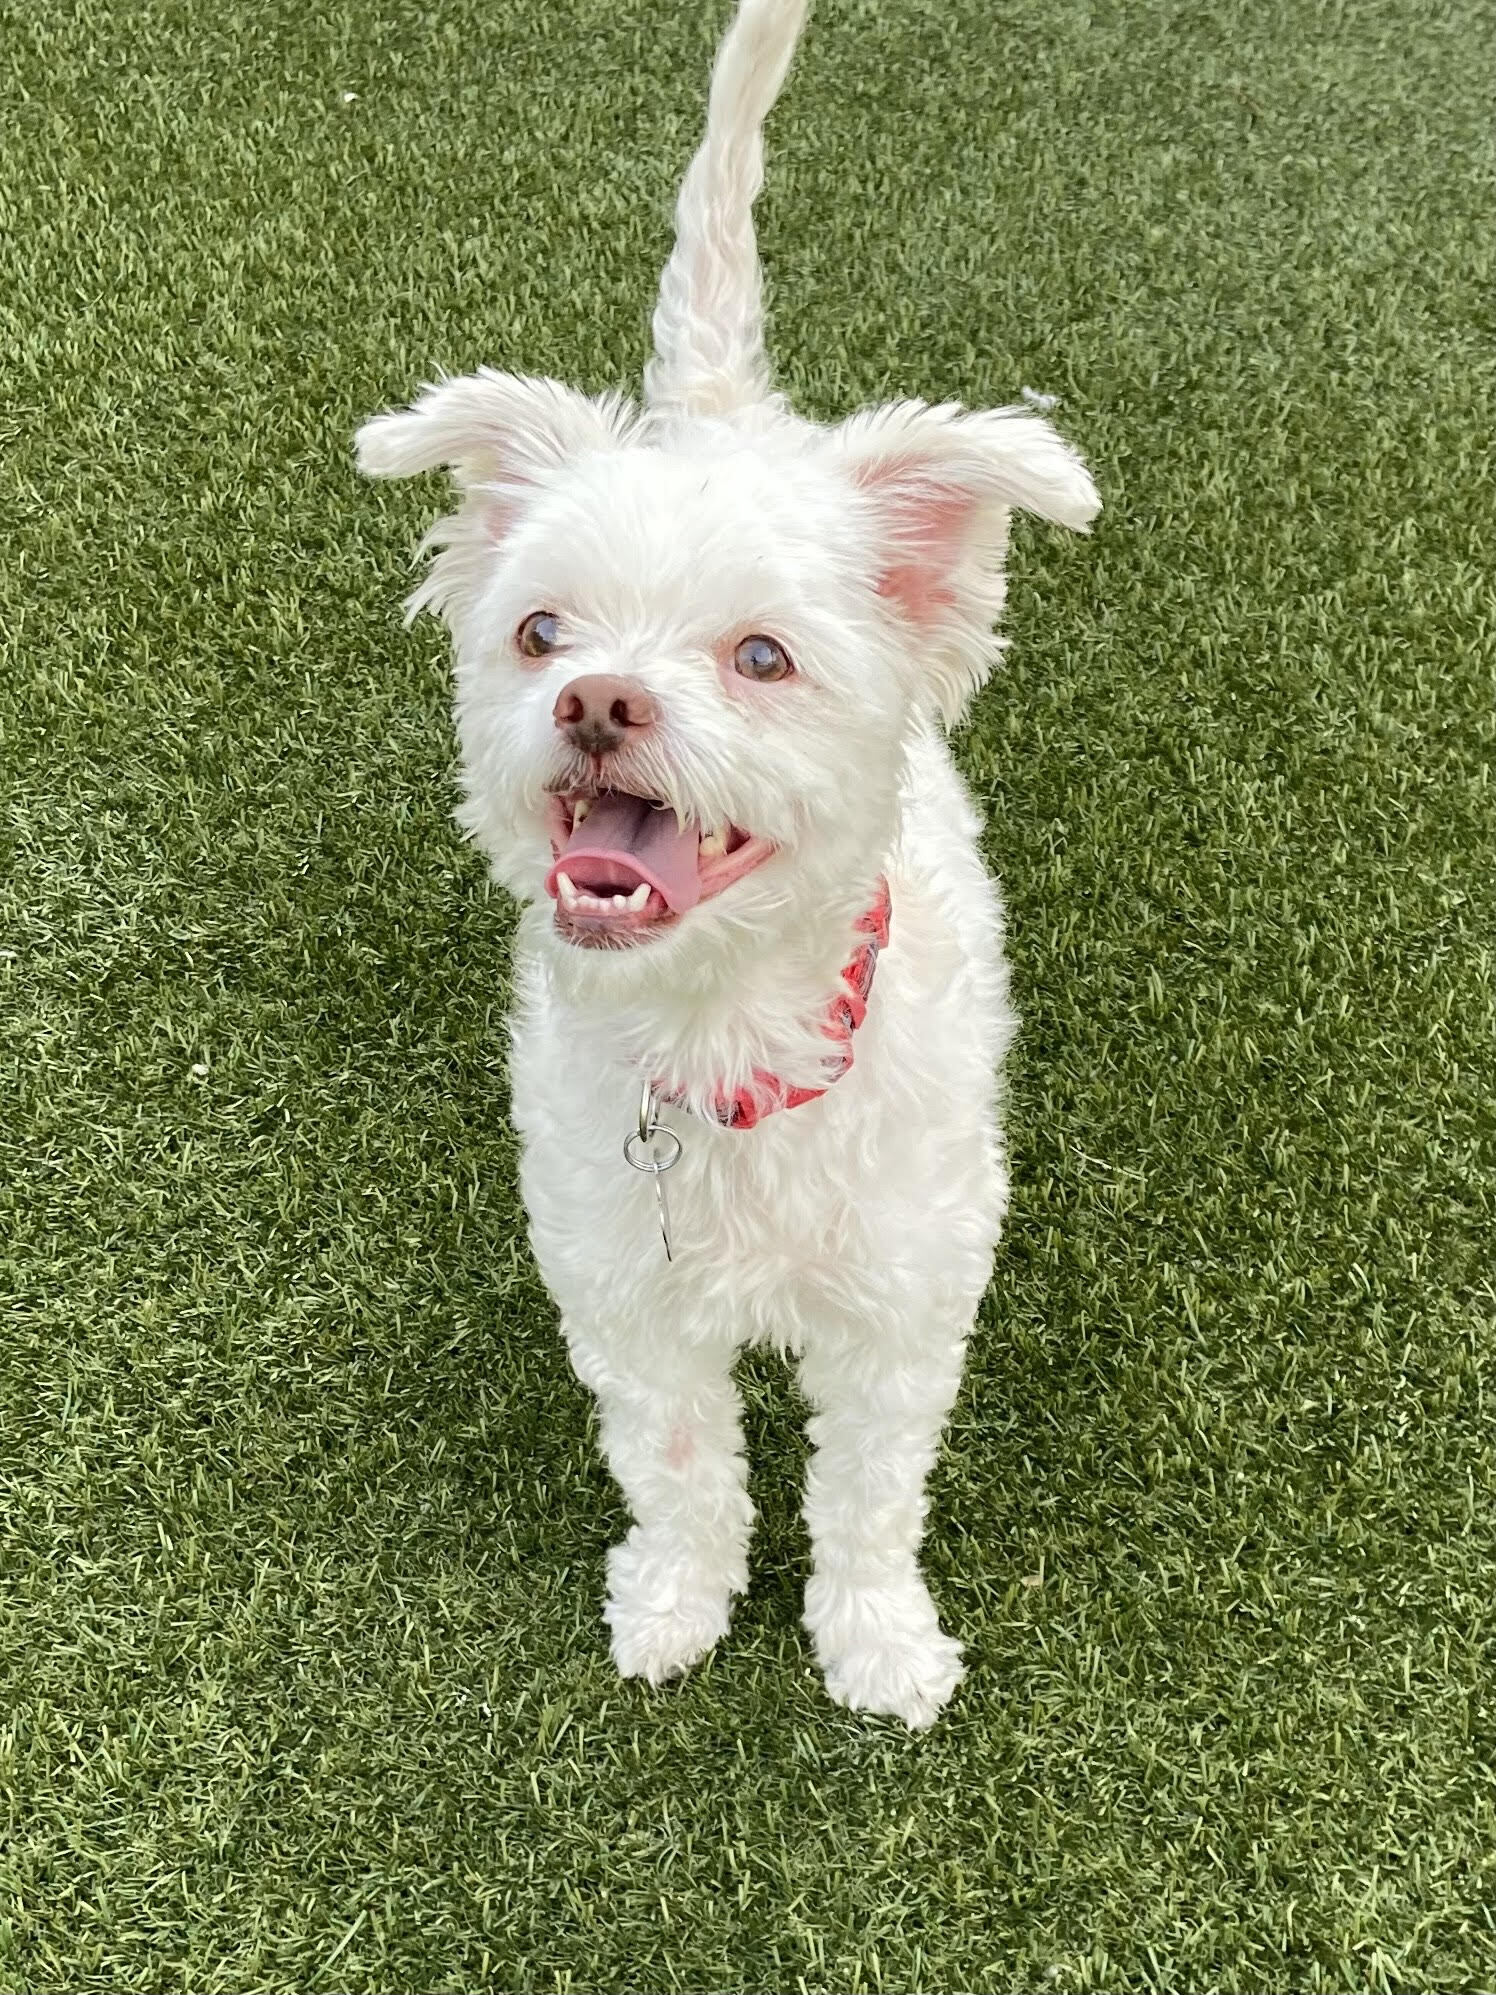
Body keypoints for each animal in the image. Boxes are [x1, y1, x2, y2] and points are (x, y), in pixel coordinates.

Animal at [355, 0, 1093, 1723]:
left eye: (762, 655)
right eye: (540, 630)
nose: (597, 700)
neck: (720, 1034)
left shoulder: (903, 1308)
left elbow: (870, 1491)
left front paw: (876, 1638)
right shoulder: (629, 1299)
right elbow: (682, 1467)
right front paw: (679, 1601)